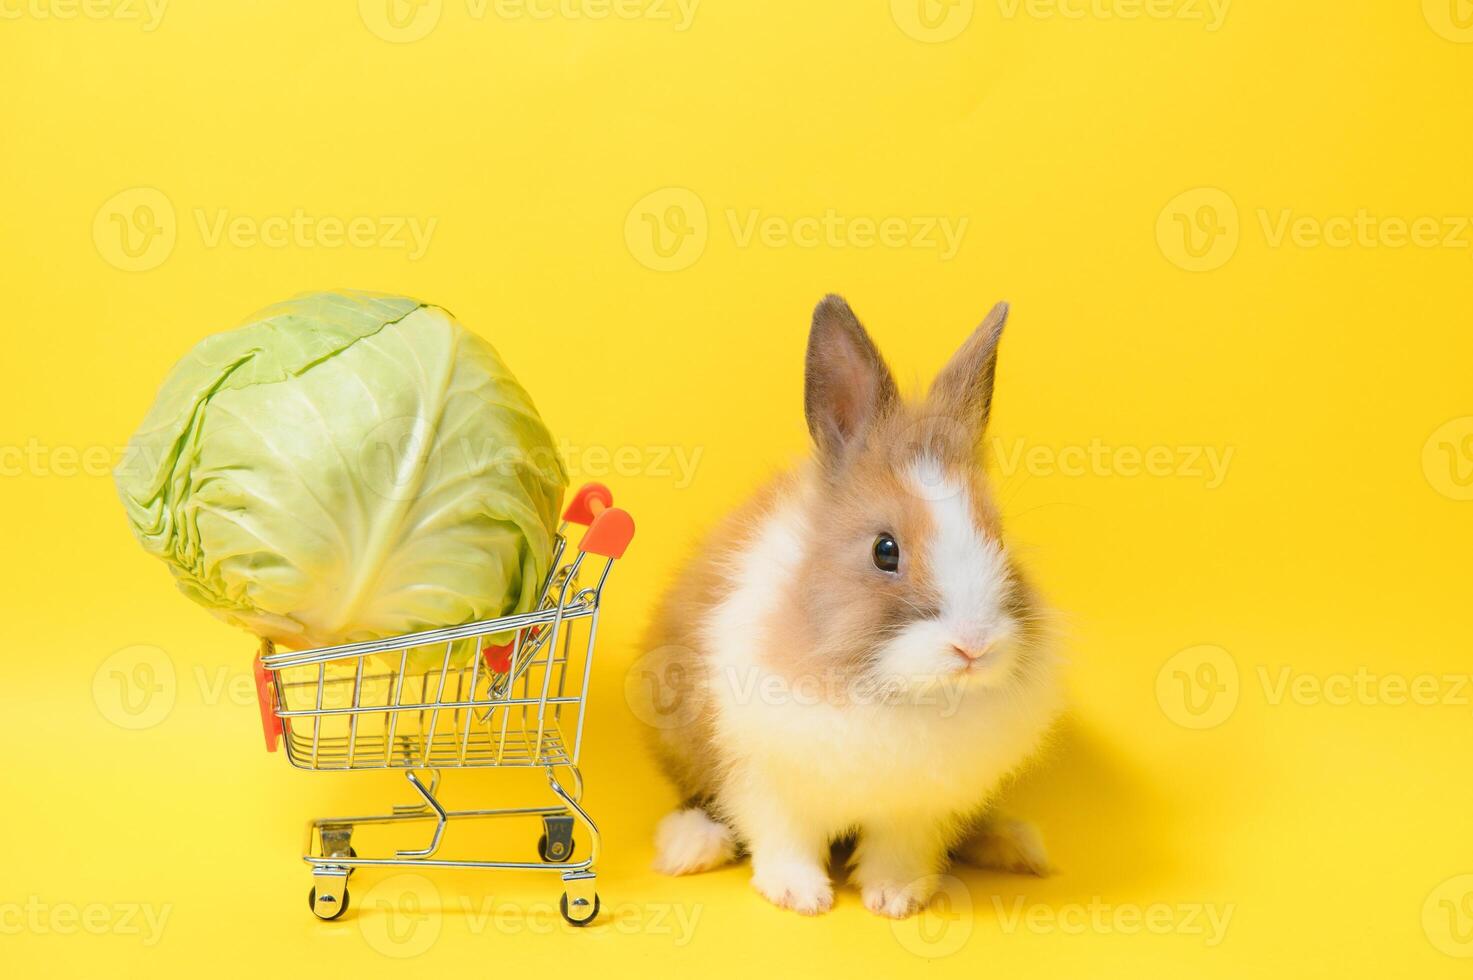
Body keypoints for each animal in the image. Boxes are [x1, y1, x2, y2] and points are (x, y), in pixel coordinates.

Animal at [639, 296, 1066, 919]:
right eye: (884, 550)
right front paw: (799, 895)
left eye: (1000, 538)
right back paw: (690, 847)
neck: (893, 693)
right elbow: (782, 834)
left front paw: (895, 898)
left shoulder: (920, 805)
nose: (973, 646)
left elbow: (899, 848)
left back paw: (1016, 844)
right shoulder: (764, 773)